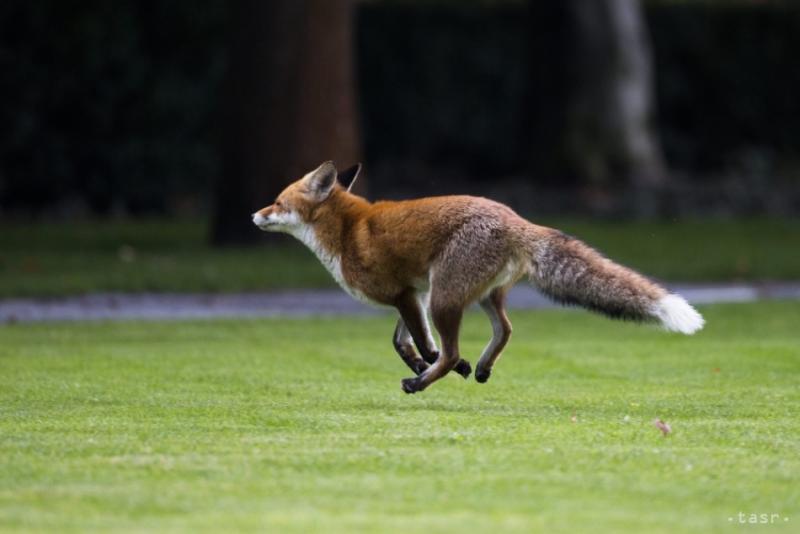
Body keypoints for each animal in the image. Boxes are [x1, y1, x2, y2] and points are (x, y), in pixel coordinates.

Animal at [253, 161, 704, 396]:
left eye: (276, 201)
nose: (253, 214)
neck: (347, 231)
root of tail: (517, 219)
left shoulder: (406, 295)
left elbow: (425, 344)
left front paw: (431, 366)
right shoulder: (413, 292)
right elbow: (403, 342)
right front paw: (427, 362)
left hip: (446, 298)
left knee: (458, 346)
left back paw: (423, 383)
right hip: (475, 295)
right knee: (505, 329)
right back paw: (481, 367)